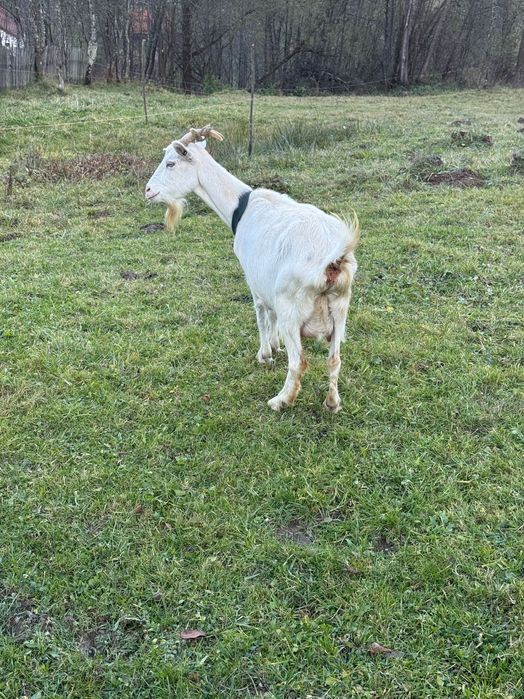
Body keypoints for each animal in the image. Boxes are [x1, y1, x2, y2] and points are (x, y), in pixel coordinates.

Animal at [145, 125, 359, 412]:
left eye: (171, 162)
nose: (148, 190)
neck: (240, 207)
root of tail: (334, 260)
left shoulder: (255, 281)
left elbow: (261, 315)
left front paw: (265, 354)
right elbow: (271, 316)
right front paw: (275, 347)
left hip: (292, 308)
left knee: (299, 362)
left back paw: (281, 400)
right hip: (340, 311)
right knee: (334, 360)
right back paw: (332, 403)